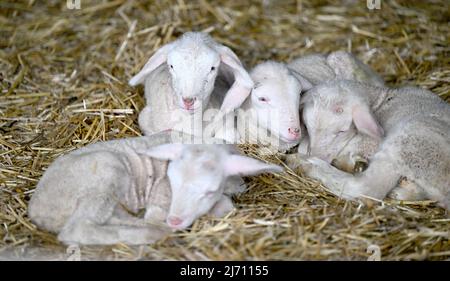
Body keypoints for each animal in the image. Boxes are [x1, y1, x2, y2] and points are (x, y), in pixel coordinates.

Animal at [27, 132, 282, 244]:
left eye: (209, 191)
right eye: (172, 181)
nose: (175, 220)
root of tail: (37, 210)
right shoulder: (161, 196)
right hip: (104, 170)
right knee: (78, 228)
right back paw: (153, 234)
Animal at [298, 79, 448, 208]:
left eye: (342, 131)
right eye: (306, 126)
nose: (317, 155)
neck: (379, 100)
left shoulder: (371, 143)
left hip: (407, 143)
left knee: (367, 188)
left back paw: (308, 164)